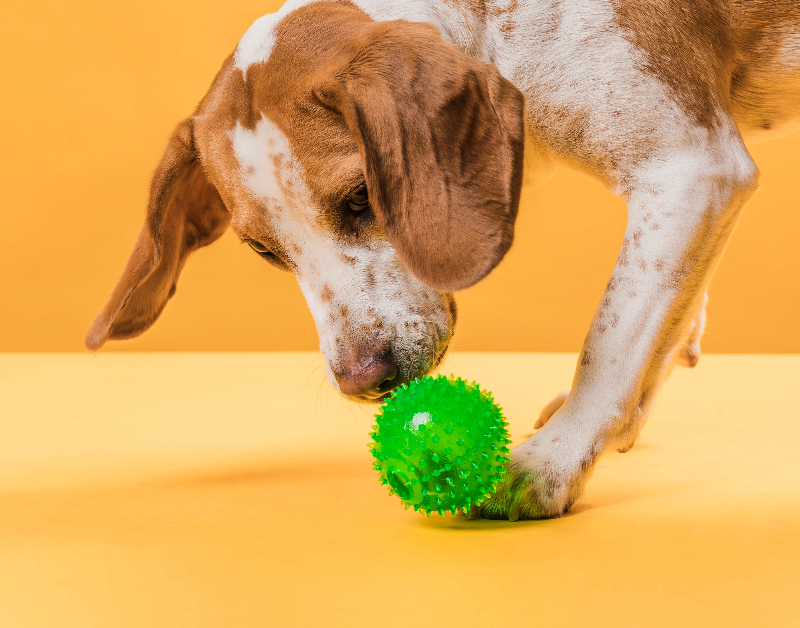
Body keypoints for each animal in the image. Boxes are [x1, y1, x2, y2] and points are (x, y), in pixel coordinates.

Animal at [86, 1, 800, 520]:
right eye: (265, 250)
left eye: (362, 197)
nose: (361, 379)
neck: (501, 27)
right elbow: (663, 319)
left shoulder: (691, 169)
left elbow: (613, 339)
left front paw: (554, 461)